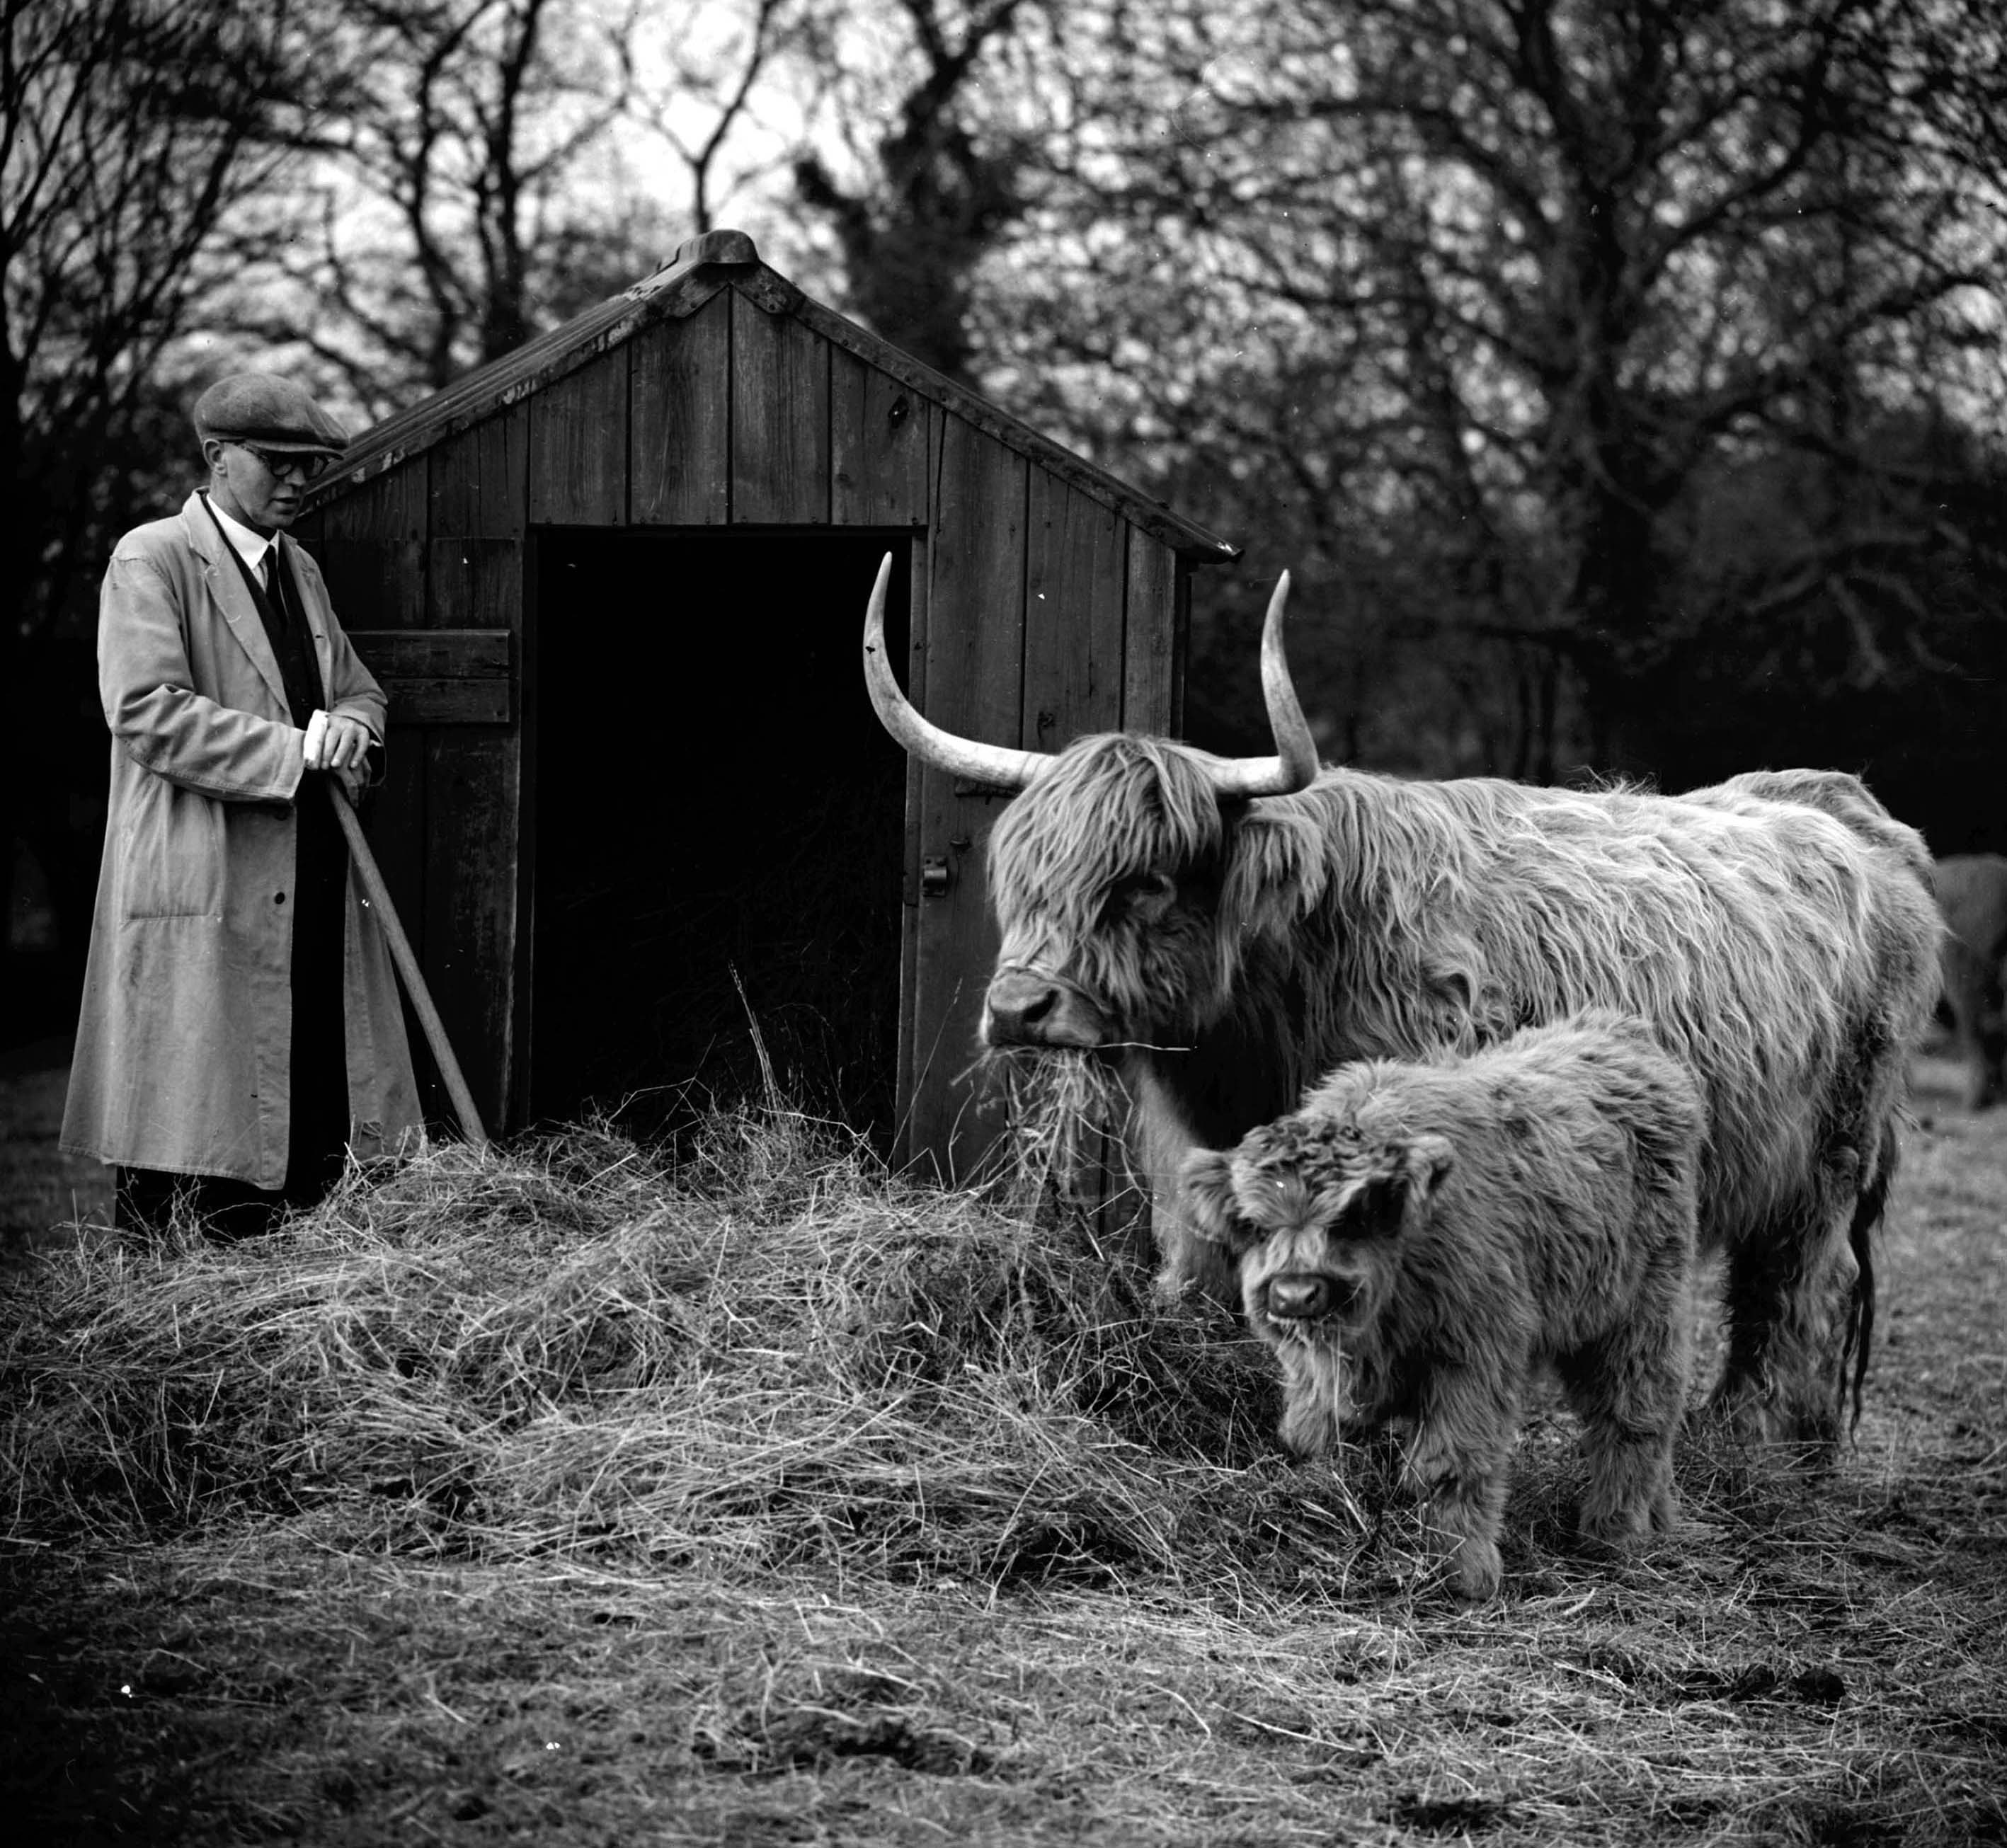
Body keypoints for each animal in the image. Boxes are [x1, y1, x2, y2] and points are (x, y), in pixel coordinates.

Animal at [860, 558, 1941, 1445]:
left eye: (1145, 882)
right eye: (1021, 875)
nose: (1017, 1007)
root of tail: (1842, 805)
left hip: (1829, 1151)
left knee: (1793, 1282)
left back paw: (1742, 1435)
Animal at [1179, 1011, 1703, 1599]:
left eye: (1355, 1215)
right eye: (1255, 1224)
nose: (1296, 1293)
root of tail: (1614, 1029)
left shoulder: (1474, 1355)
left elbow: (1449, 1463)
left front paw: (1463, 1572)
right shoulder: (1319, 1370)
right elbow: (1309, 1432)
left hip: (1640, 1307)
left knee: (1637, 1408)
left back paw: (1615, 1535)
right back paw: (1659, 1518)